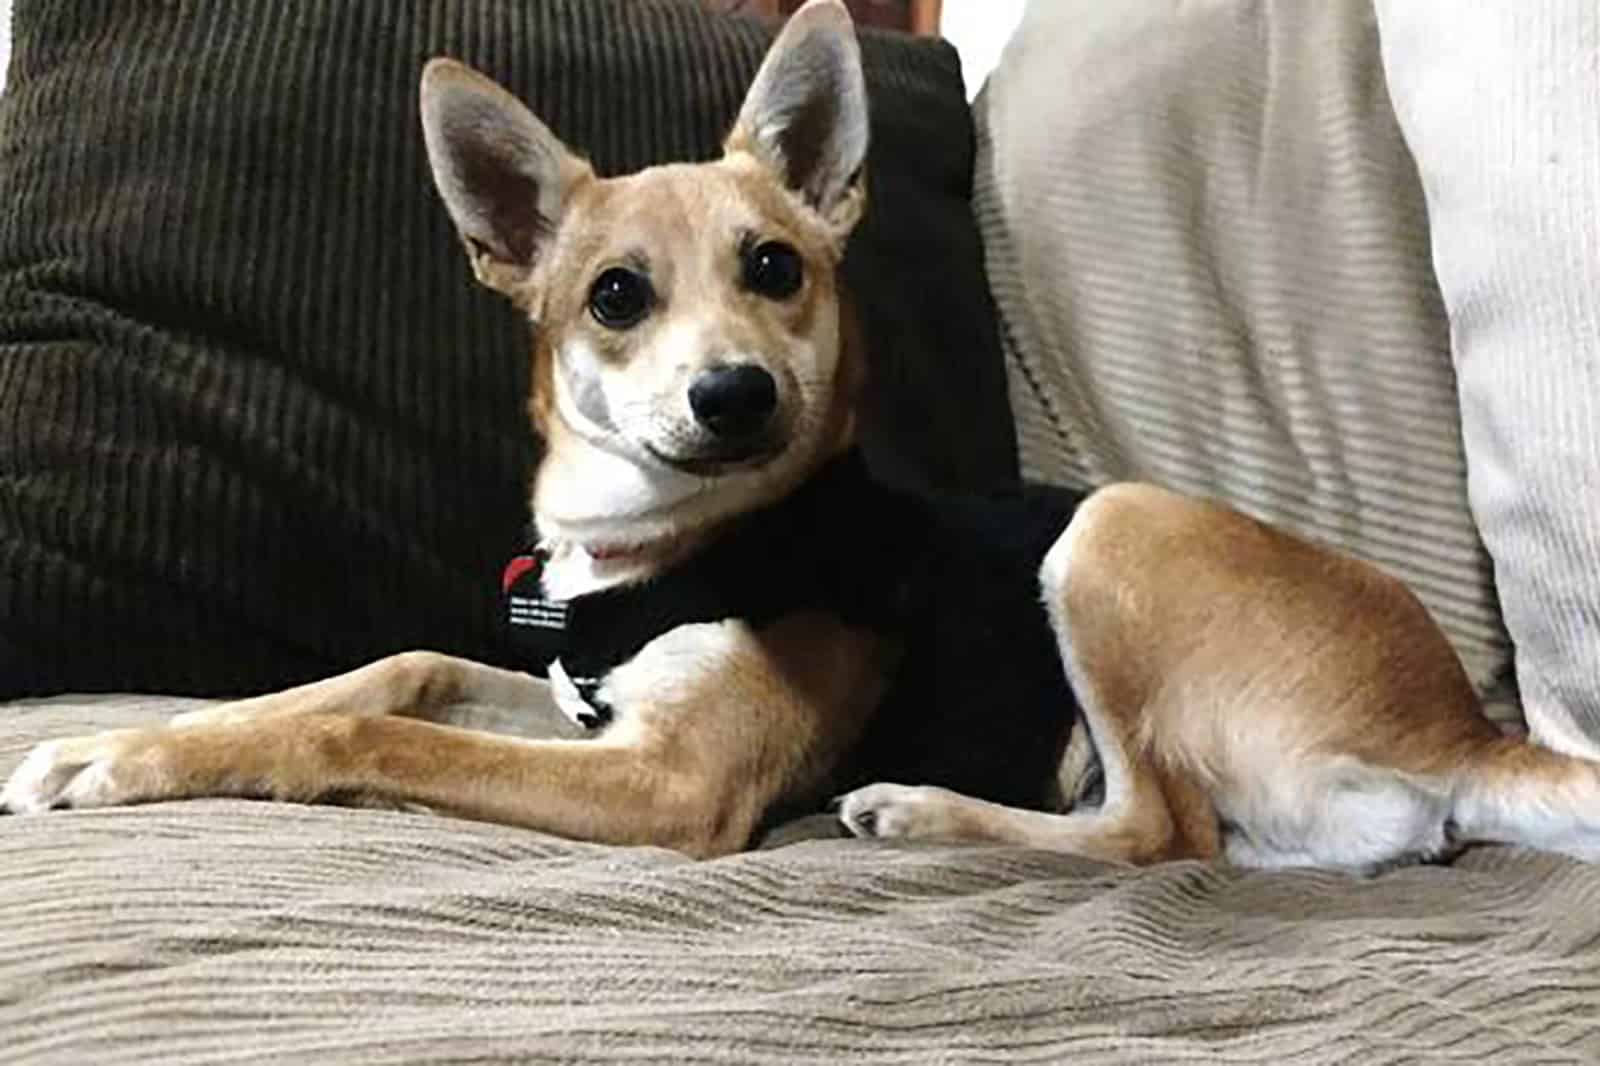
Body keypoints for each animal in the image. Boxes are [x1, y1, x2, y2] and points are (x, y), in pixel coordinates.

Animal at [3, 0, 1600, 870]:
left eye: (775, 266)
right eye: (615, 295)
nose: (736, 397)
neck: (648, 552)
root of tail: (1459, 726)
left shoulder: (668, 781)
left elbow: (362, 726)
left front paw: (135, 763)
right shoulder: (583, 706)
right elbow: (394, 670)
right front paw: (138, 735)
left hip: (1110, 527)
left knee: (1160, 831)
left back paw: (917, 805)